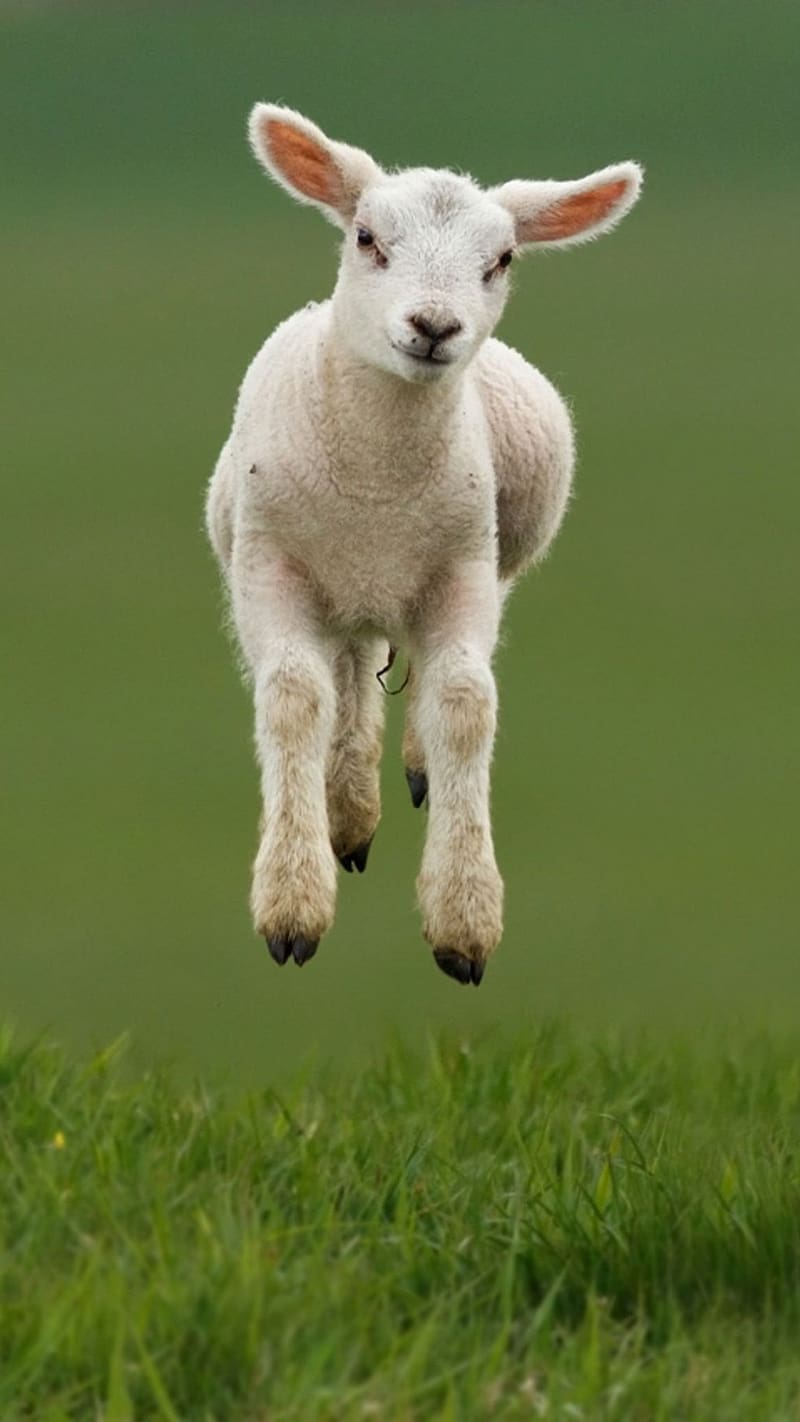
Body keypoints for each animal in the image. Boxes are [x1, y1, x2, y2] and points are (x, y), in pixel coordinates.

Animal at [206, 104, 642, 985]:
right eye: (367, 237)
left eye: (502, 259)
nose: (435, 326)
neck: (377, 490)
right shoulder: (270, 566)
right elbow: (295, 698)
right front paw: (292, 907)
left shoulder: (462, 567)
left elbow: (466, 703)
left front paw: (464, 920)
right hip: (332, 588)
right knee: (344, 675)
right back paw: (347, 814)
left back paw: (400, 777)